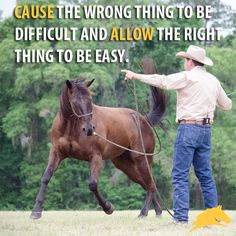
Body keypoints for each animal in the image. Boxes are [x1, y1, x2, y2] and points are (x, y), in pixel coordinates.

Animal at [30, 77, 166, 218]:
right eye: (74, 102)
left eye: (90, 100)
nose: (89, 129)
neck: (71, 127)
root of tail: (144, 120)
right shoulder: (57, 152)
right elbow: (46, 177)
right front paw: (36, 211)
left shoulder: (95, 156)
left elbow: (93, 184)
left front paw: (108, 207)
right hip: (124, 164)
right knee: (146, 183)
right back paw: (158, 211)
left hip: (141, 159)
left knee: (151, 183)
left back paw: (143, 212)